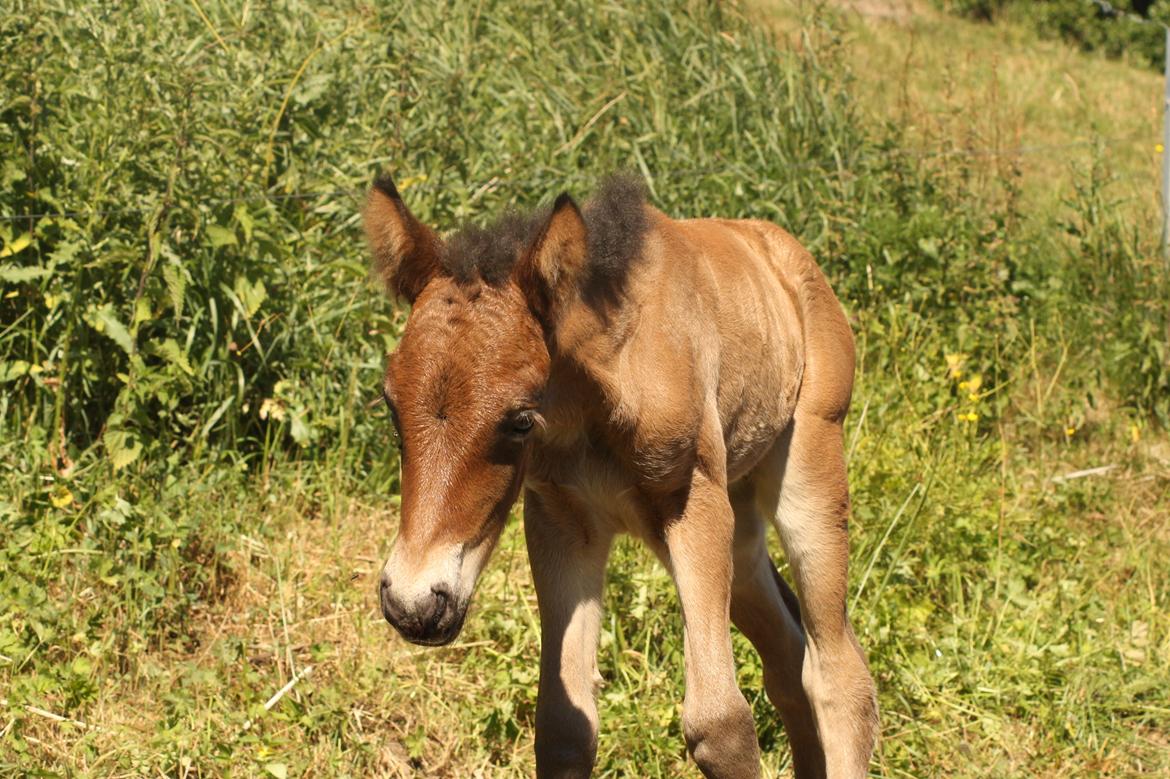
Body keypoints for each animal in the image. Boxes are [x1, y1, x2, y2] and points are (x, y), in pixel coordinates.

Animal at [365, 173, 879, 771]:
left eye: (520, 420)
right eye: (391, 405)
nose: (414, 604)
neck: (586, 411)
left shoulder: (695, 506)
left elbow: (721, 723)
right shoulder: (562, 523)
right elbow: (564, 726)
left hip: (810, 472)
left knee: (838, 674)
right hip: (741, 533)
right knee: (789, 660)